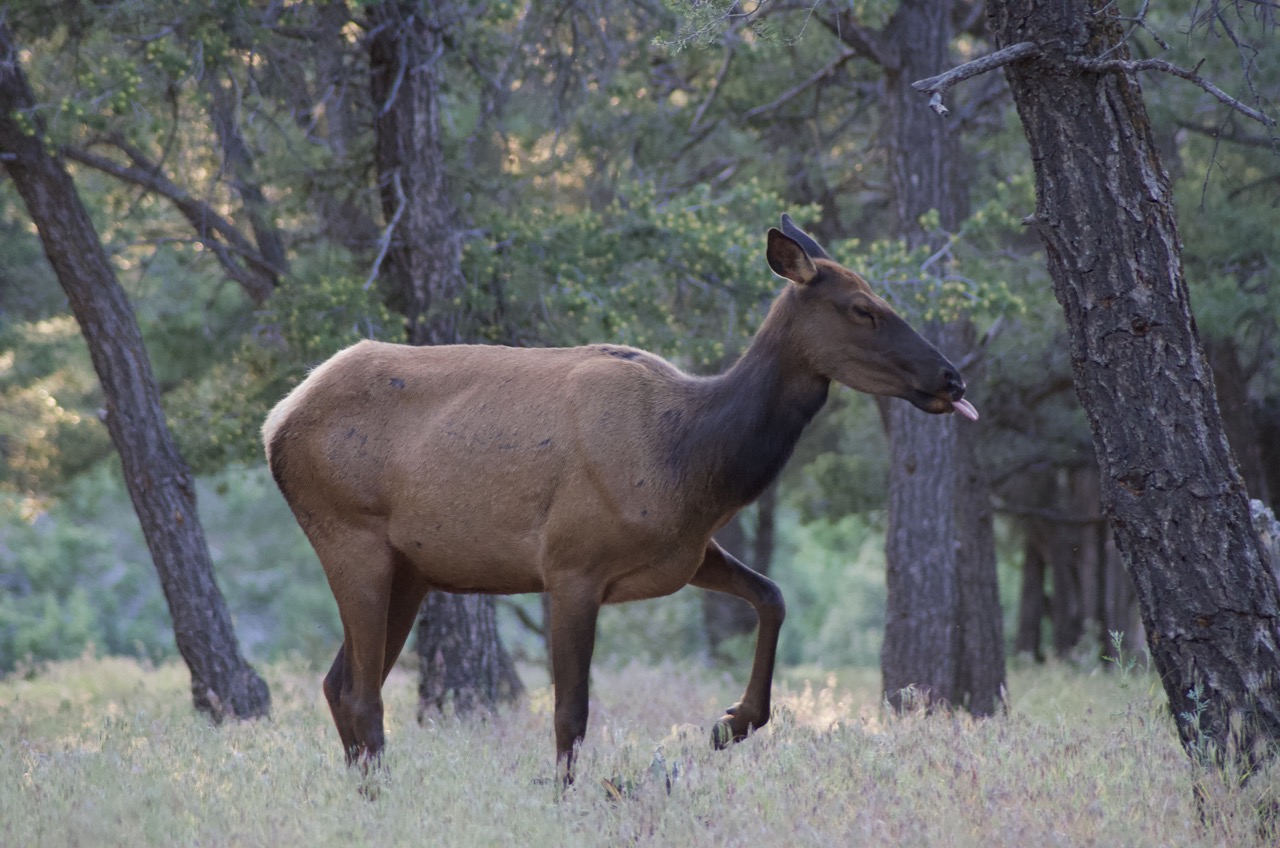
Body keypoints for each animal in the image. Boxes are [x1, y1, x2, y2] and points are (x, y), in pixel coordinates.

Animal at [262, 216, 977, 789]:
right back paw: (378, 797)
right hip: (348, 534)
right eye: (862, 308)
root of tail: (276, 423)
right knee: (361, 692)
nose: (953, 378)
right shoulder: (571, 563)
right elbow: (570, 710)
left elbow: (772, 595)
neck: (689, 463)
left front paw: (731, 723)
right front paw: (564, 797)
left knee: (340, 683)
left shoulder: (684, 555)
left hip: (411, 567)